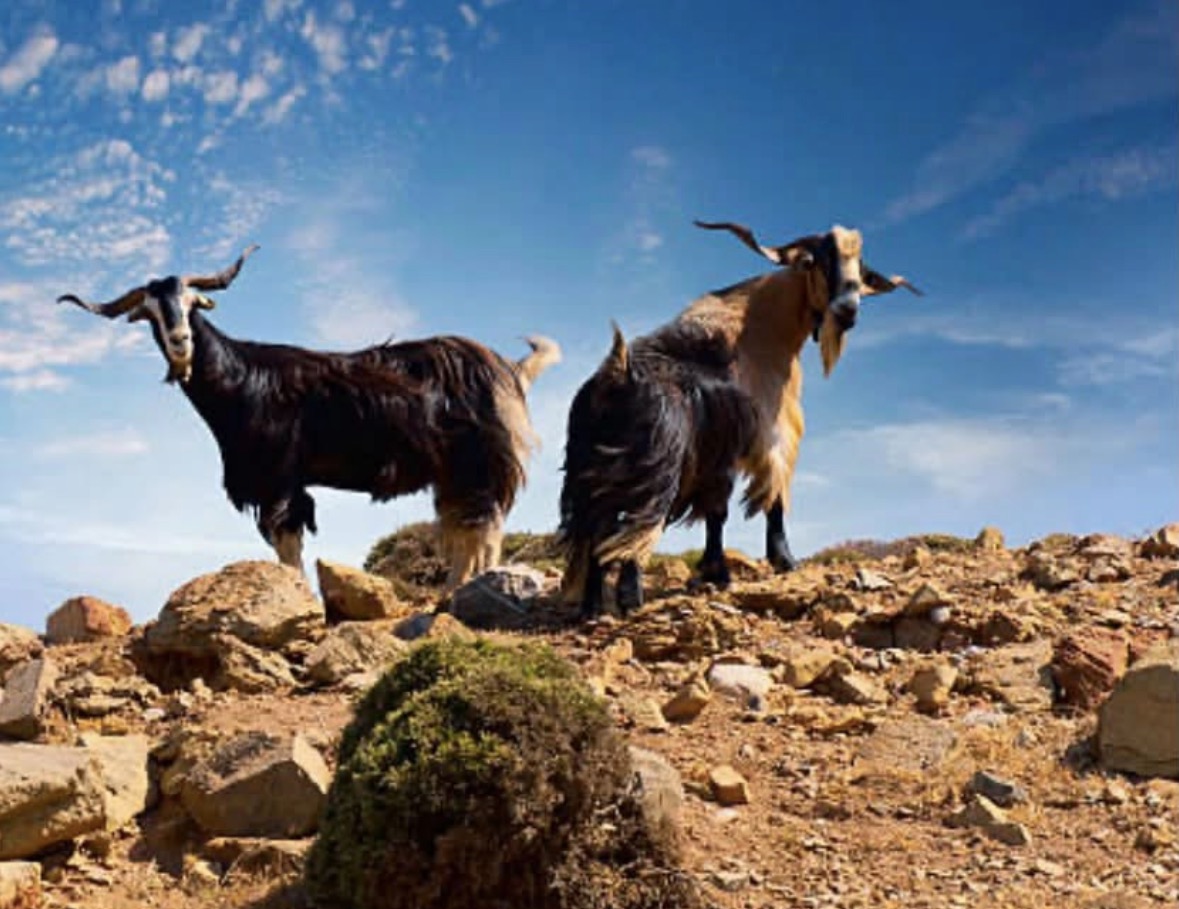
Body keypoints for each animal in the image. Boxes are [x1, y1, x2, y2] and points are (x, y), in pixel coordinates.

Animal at [57, 245, 561, 587]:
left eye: (193, 304)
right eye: (149, 313)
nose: (181, 341)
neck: (243, 379)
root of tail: (509, 369)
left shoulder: (277, 479)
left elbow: (288, 547)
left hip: (478, 462)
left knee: (486, 528)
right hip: (451, 472)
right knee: (463, 528)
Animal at [559, 220, 920, 618]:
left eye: (860, 268)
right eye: (815, 261)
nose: (848, 310)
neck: (761, 332)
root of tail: (619, 373)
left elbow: (720, 512)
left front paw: (717, 572)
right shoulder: (764, 435)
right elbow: (760, 501)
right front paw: (774, 563)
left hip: (592, 474)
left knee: (599, 531)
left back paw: (593, 607)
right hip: (656, 469)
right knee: (634, 528)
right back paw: (630, 598)